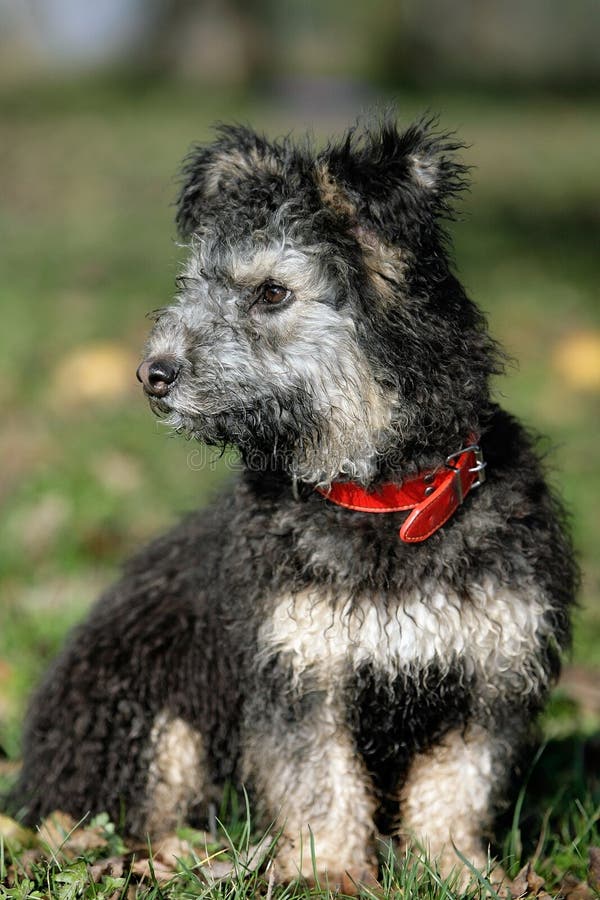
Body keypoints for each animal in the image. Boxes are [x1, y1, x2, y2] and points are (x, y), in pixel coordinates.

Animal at [10, 116, 576, 888]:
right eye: (192, 283)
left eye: (273, 292)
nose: (152, 373)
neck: (383, 500)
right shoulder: (298, 671)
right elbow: (321, 783)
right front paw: (328, 872)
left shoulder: (488, 673)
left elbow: (455, 787)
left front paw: (454, 871)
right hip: (144, 715)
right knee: (124, 816)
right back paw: (183, 854)